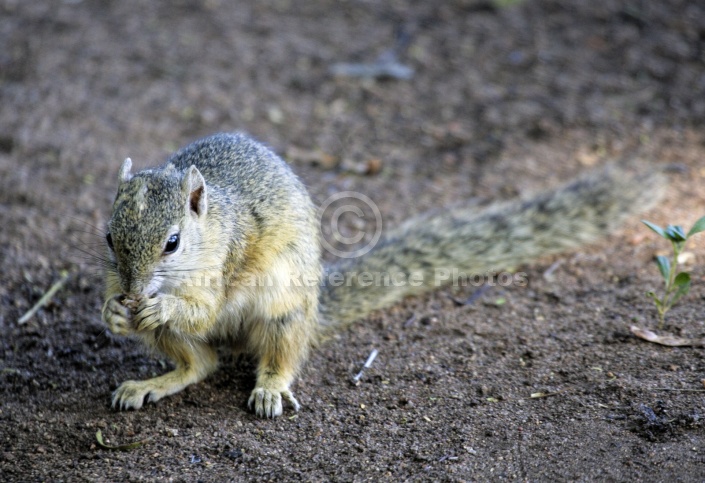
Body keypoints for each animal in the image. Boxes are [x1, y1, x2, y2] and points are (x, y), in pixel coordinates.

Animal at [100, 131, 664, 416]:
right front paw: (113, 312)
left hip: (284, 308)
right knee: (201, 363)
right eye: (108, 237)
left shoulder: (225, 261)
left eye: (173, 243)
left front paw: (161, 305)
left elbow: (202, 308)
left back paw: (269, 389)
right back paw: (151, 382)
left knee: (272, 355)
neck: (210, 226)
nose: (133, 291)